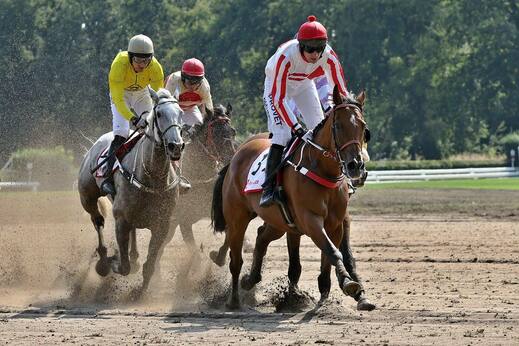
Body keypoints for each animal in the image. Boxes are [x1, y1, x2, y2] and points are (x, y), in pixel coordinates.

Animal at [79, 88, 187, 296]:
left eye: (181, 113)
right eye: (159, 114)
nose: (176, 146)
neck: (152, 177)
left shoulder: (162, 225)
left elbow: (150, 265)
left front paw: (141, 292)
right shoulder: (121, 219)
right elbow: (124, 266)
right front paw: (114, 261)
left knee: (132, 233)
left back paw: (134, 256)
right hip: (87, 197)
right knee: (98, 220)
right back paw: (103, 260)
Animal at [211, 88, 370, 310]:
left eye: (363, 127)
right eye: (338, 125)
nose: (356, 165)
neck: (321, 169)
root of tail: (236, 155)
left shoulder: (335, 223)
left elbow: (331, 256)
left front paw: (335, 289)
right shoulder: (310, 219)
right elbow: (331, 251)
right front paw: (348, 283)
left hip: (278, 221)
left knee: (261, 237)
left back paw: (250, 279)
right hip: (237, 218)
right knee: (235, 260)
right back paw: (234, 300)